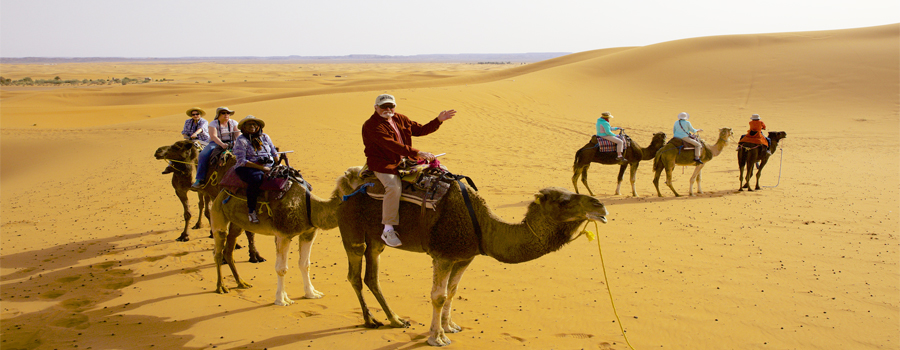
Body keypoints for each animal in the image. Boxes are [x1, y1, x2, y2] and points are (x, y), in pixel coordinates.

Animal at [211, 165, 366, 304]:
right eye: (362, 174)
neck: (311, 207)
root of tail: (222, 191)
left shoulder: (308, 233)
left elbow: (305, 264)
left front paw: (312, 293)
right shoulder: (283, 234)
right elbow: (281, 269)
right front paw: (282, 299)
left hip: (237, 223)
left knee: (228, 251)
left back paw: (241, 283)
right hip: (218, 212)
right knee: (218, 249)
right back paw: (221, 287)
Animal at [334, 182, 608, 346]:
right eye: (563, 201)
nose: (600, 206)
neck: (486, 228)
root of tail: (344, 192)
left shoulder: (465, 256)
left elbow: (452, 292)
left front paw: (450, 326)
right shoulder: (443, 254)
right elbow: (438, 296)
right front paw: (437, 337)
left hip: (375, 238)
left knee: (371, 276)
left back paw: (396, 320)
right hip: (352, 230)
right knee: (354, 274)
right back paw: (371, 320)